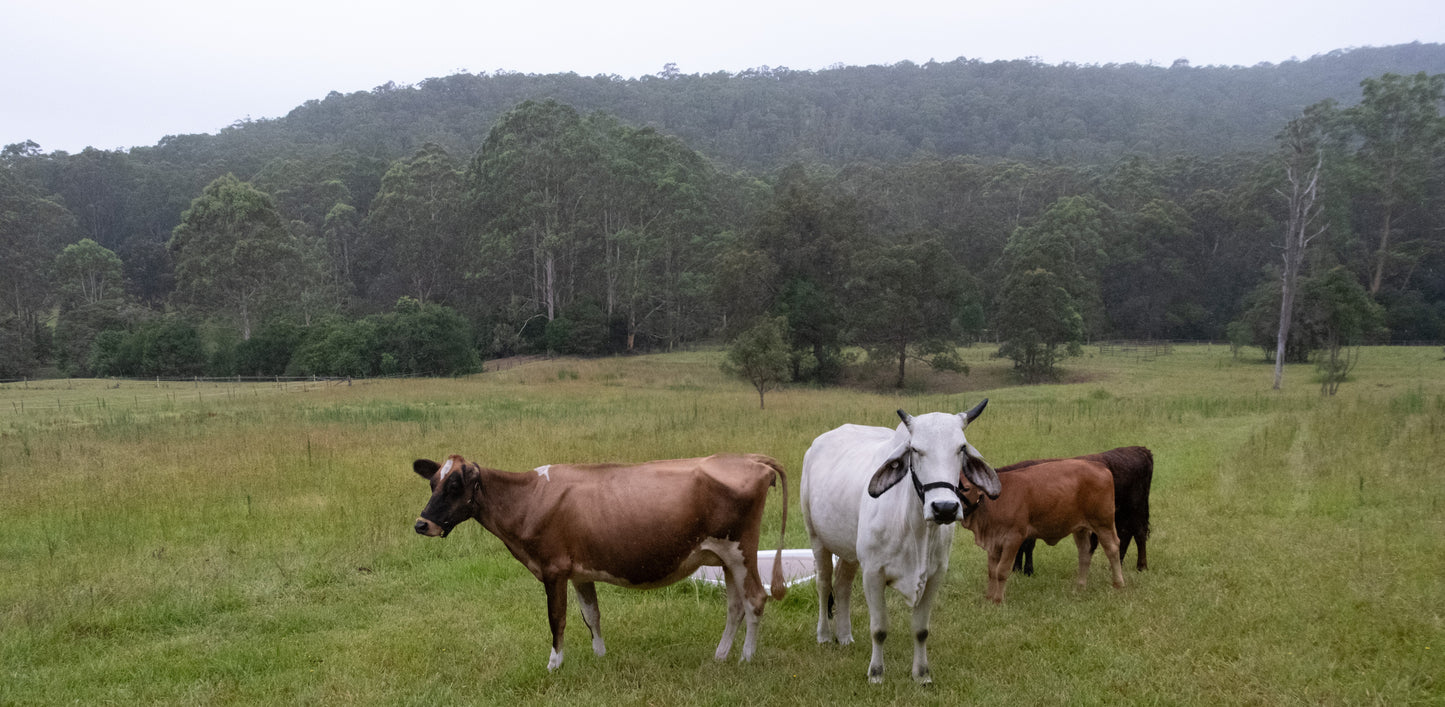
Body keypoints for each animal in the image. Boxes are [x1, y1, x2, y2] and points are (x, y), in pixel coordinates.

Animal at [407, 453, 791, 670]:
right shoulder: (579, 572)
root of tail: (750, 458)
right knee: (735, 606)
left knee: (755, 599)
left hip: (741, 550)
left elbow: (557, 619)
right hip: (725, 557)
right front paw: (600, 657)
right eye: (432, 483)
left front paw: (554, 665)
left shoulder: (553, 569)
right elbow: (591, 615)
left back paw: (745, 659)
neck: (528, 499)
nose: (421, 524)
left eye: (454, 485)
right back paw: (720, 656)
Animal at [797, 399, 999, 679]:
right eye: (915, 449)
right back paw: (825, 636)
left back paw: (845, 636)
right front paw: (876, 673)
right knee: (824, 583)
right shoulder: (873, 573)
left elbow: (921, 630)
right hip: (817, 539)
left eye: (961, 448)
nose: (944, 508)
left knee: (842, 586)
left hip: (849, 551)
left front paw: (922, 674)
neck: (916, 531)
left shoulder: (935, 576)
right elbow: (879, 629)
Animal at [959, 459, 1127, 604]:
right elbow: (992, 571)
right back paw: (1080, 587)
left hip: (1103, 523)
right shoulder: (994, 542)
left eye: (966, 488)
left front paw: (998, 600)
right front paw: (989, 598)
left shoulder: (1013, 538)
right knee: (1085, 553)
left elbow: (1001, 571)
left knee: (1112, 548)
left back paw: (1118, 584)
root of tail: (1098, 465)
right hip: (1080, 528)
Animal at [999, 445, 1156, 572]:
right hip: (1120, 512)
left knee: (1139, 534)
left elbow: (1027, 545)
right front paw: (1017, 569)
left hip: (1135, 509)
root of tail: (1138, 449)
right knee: (1125, 534)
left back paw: (1141, 566)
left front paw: (1027, 570)